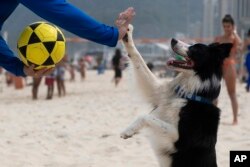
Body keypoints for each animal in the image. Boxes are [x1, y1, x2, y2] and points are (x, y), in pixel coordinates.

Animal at [120, 24, 231, 167]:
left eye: (195, 48)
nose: (173, 40)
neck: (189, 96)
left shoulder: (179, 139)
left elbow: (146, 117)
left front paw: (128, 131)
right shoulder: (157, 93)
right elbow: (138, 59)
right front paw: (127, 33)